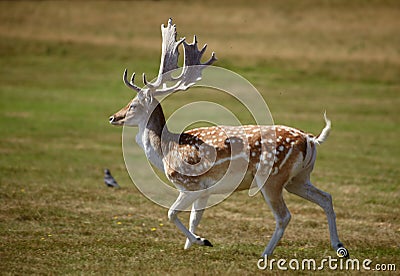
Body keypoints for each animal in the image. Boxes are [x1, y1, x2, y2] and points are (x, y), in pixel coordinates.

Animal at [108, 18, 346, 256]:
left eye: (133, 104)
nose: (113, 117)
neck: (166, 151)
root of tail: (310, 140)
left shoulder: (191, 184)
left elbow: (171, 213)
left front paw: (202, 240)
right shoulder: (204, 192)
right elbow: (195, 218)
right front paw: (191, 245)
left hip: (272, 177)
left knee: (284, 216)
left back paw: (265, 253)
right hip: (298, 178)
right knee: (326, 197)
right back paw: (339, 246)